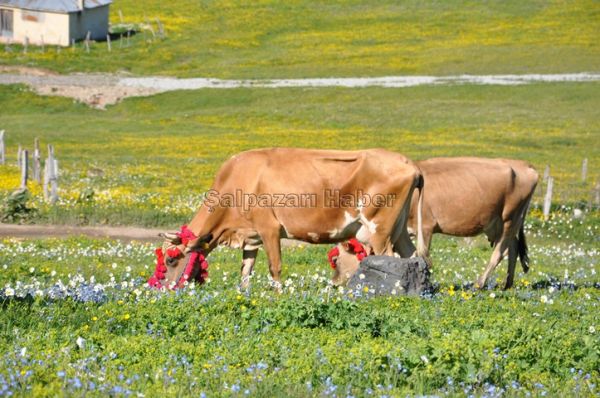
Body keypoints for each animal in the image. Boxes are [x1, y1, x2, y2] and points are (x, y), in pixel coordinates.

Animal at [155, 148, 426, 290]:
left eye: (170, 259)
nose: (160, 290)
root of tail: (410, 164)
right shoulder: (251, 236)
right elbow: (246, 270)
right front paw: (244, 294)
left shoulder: (270, 228)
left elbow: (274, 267)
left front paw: (278, 295)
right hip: (399, 230)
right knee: (414, 258)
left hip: (379, 230)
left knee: (390, 261)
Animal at [328, 157, 540, 290]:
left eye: (336, 260)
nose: (334, 283)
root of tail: (524, 165)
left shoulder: (426, 227)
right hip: (496, 223)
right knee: (513, 247)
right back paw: (507, 284)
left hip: (510, 218)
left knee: (500, 251)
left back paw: (479, 283)